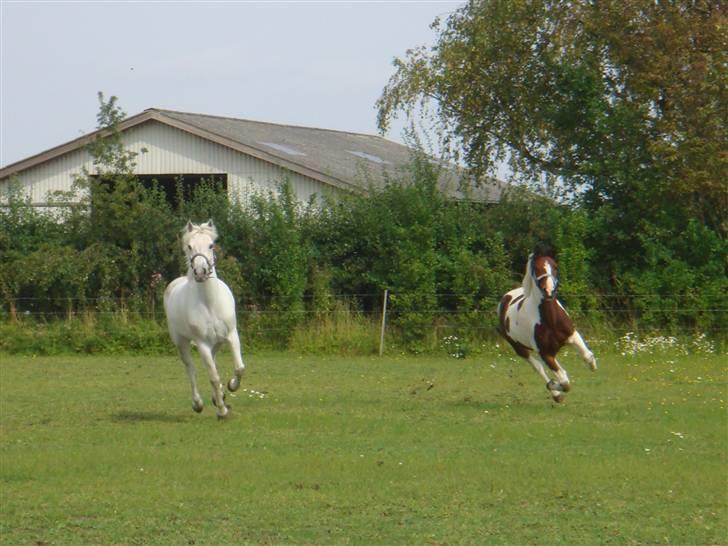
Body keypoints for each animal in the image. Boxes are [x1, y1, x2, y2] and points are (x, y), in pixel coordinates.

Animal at [164, 219, 246, 414]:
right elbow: (213, 378)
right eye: (189, 246)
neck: (210, 303)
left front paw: (231, 386)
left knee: (213, 363)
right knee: (191, 369)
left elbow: (239, 368)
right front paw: (222, 411)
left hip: (216, 343)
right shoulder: (202, 344)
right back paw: (198, 404)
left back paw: (219, 396)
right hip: (182, 342)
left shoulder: (231, 335)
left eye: (211, 245)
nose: (200, 271)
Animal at [498, 250, 600, 400]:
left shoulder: (572, 335)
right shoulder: (545, 353)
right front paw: (552, 385)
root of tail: (506, 297)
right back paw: (556, 395)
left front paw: (593, 366)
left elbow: (587, 356)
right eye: (537, 268)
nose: (548, 290)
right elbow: (564, 382)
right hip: (519, 347)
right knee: (538, 367)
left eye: (555, 266)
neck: (550, 320)